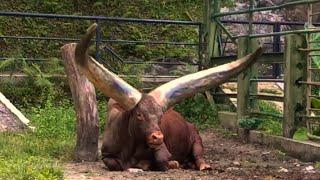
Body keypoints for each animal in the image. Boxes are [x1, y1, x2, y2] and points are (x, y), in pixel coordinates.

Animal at [74, 23, 262, 172]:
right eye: (139, 114)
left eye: (160, 116)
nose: (158, 137)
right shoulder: (106, 155)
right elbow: (115, 164)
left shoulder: (162, 152)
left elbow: (154, 162)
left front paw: (170, 164)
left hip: (196, 137)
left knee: (199, 155)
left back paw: (201, 165)